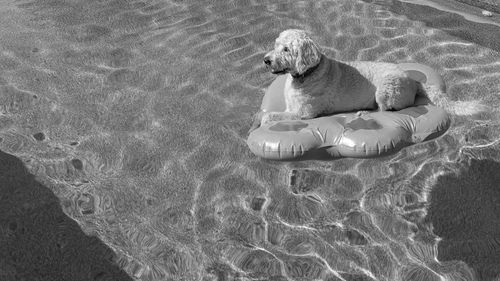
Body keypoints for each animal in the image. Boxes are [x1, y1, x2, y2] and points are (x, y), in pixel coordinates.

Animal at [250, 29, 442, 132]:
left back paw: (365, 112)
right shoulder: (290, 107)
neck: (308, 73)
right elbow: (264, 113)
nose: (266, 60)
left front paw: (264, 121)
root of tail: (414, 81)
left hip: (386, 88)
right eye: (276, 45)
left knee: (384, 110)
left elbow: (270, 116)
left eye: (286, 49)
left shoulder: (303, 113)